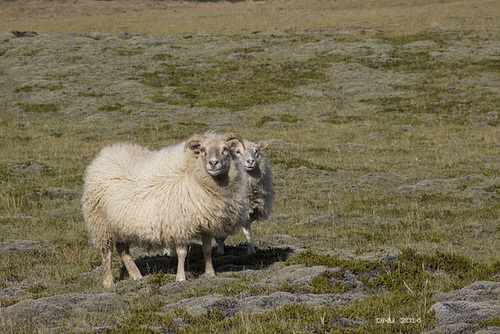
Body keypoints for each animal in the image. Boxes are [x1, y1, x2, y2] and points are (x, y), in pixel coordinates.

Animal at [81, 132, 247, 286]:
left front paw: (210, 274)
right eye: (202, 150)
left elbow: (207, 249)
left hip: (120, 224)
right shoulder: (179, 225)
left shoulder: (205, 223)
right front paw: (181, 278)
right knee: (107, 252)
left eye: (225, 149)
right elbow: (182, 253)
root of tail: (102, 158)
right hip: (101, 223)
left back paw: (137, 276)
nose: (213, 163)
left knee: (122, 249)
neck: (192, 174)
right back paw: (108, 281)